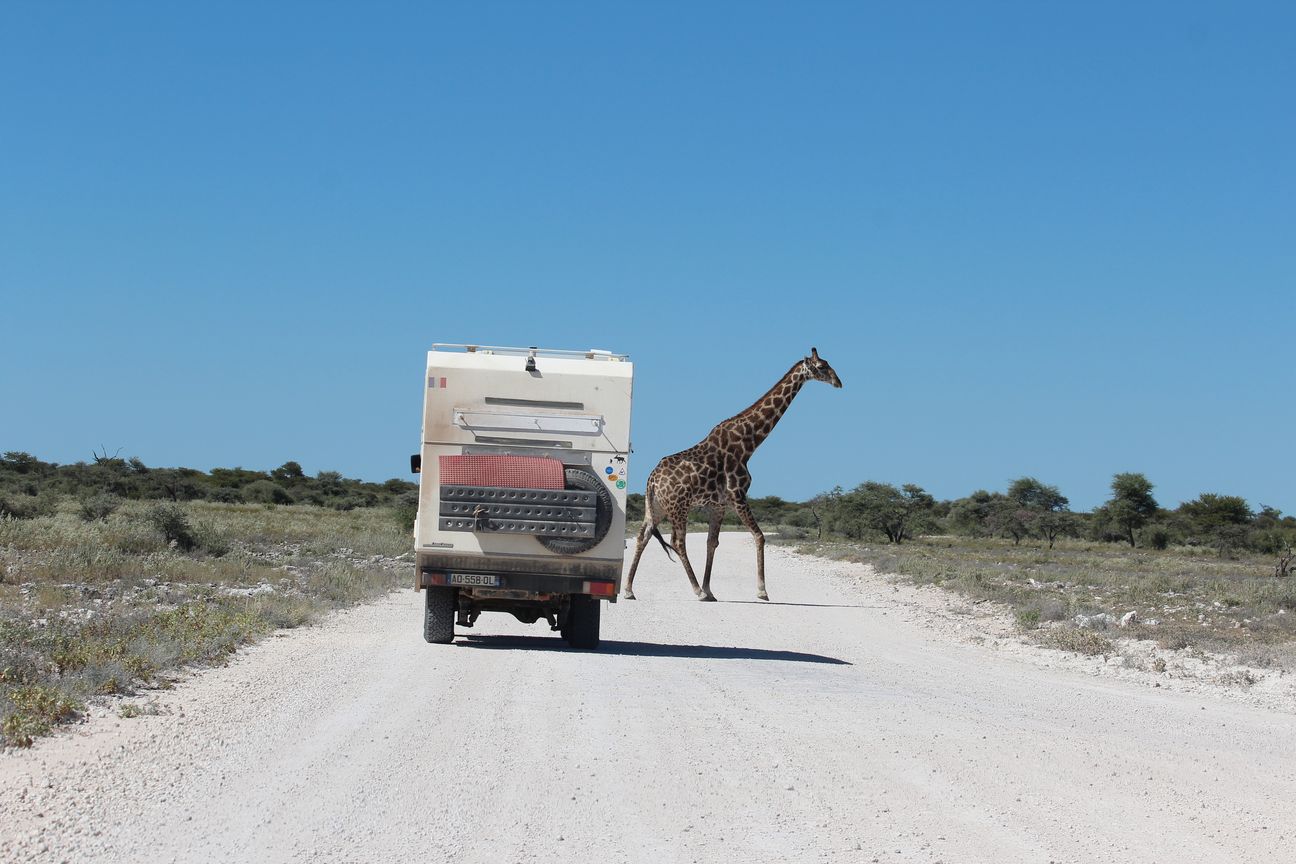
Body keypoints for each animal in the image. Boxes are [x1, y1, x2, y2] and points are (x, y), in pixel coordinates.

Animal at [622, 347, 844, 606]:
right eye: (821, 367)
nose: (838, 382)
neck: (749, 443)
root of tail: (651, 481)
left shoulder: (719, 505)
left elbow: (712, 543)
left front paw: (710, 590)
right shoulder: (737, 495)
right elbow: (759, 536)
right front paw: (761, 591)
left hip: (655, 508)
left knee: (643, 536)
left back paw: (629, 590)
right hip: (679, 507)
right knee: (678, 541)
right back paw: (695, 591)